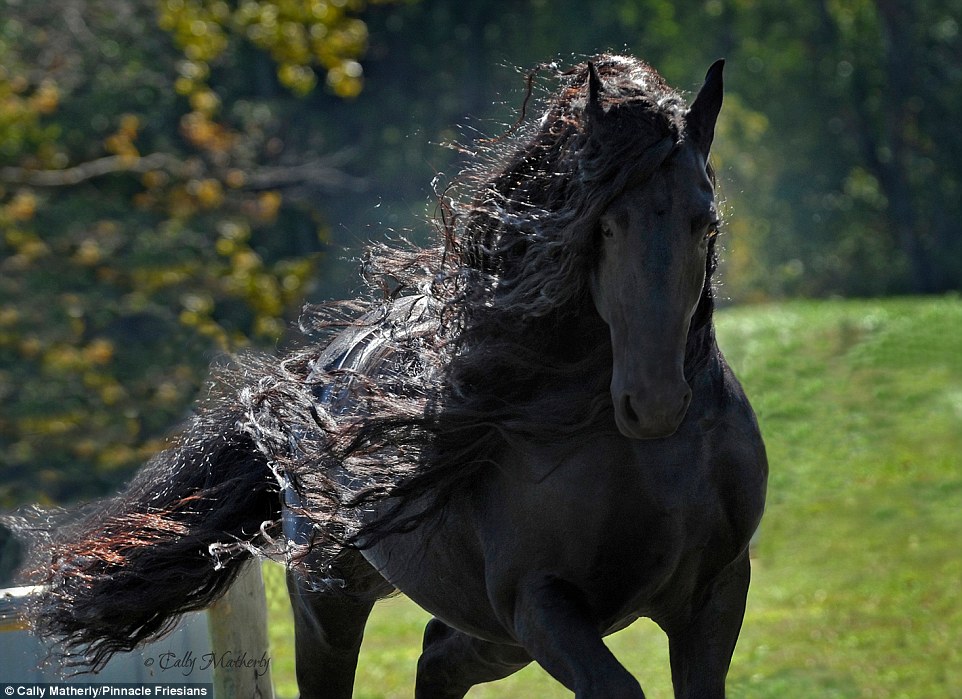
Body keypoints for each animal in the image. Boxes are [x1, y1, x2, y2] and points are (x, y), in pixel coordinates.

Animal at [13, 56, 764, 699]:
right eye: (605, 226)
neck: (647, 465)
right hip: (336, 601)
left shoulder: (714, 594)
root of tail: (311, 378)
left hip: (488, 632)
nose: (654, 402)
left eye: (705, 223)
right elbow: (616, 685)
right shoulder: (542, 602)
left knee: (436, 661)